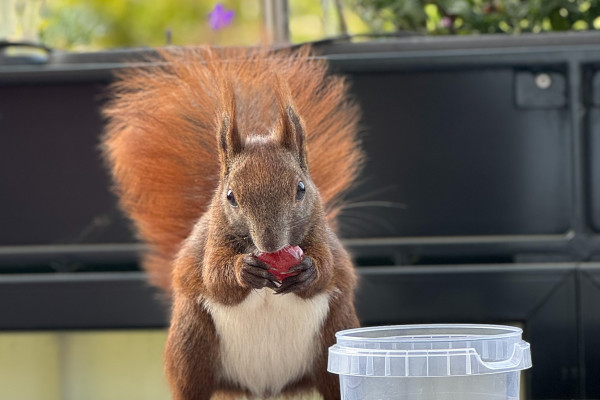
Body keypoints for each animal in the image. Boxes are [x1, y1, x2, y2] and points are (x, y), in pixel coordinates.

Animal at [101, 46, 364, 400]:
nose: (270, 243)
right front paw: (244, 270)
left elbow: (327, 269)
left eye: (301, 188)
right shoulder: (212, 242)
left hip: (333, 339)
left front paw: (308, 270)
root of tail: (264, 388)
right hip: (191, 347)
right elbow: (215, 277)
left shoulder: (323, 237)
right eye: (230, 197)